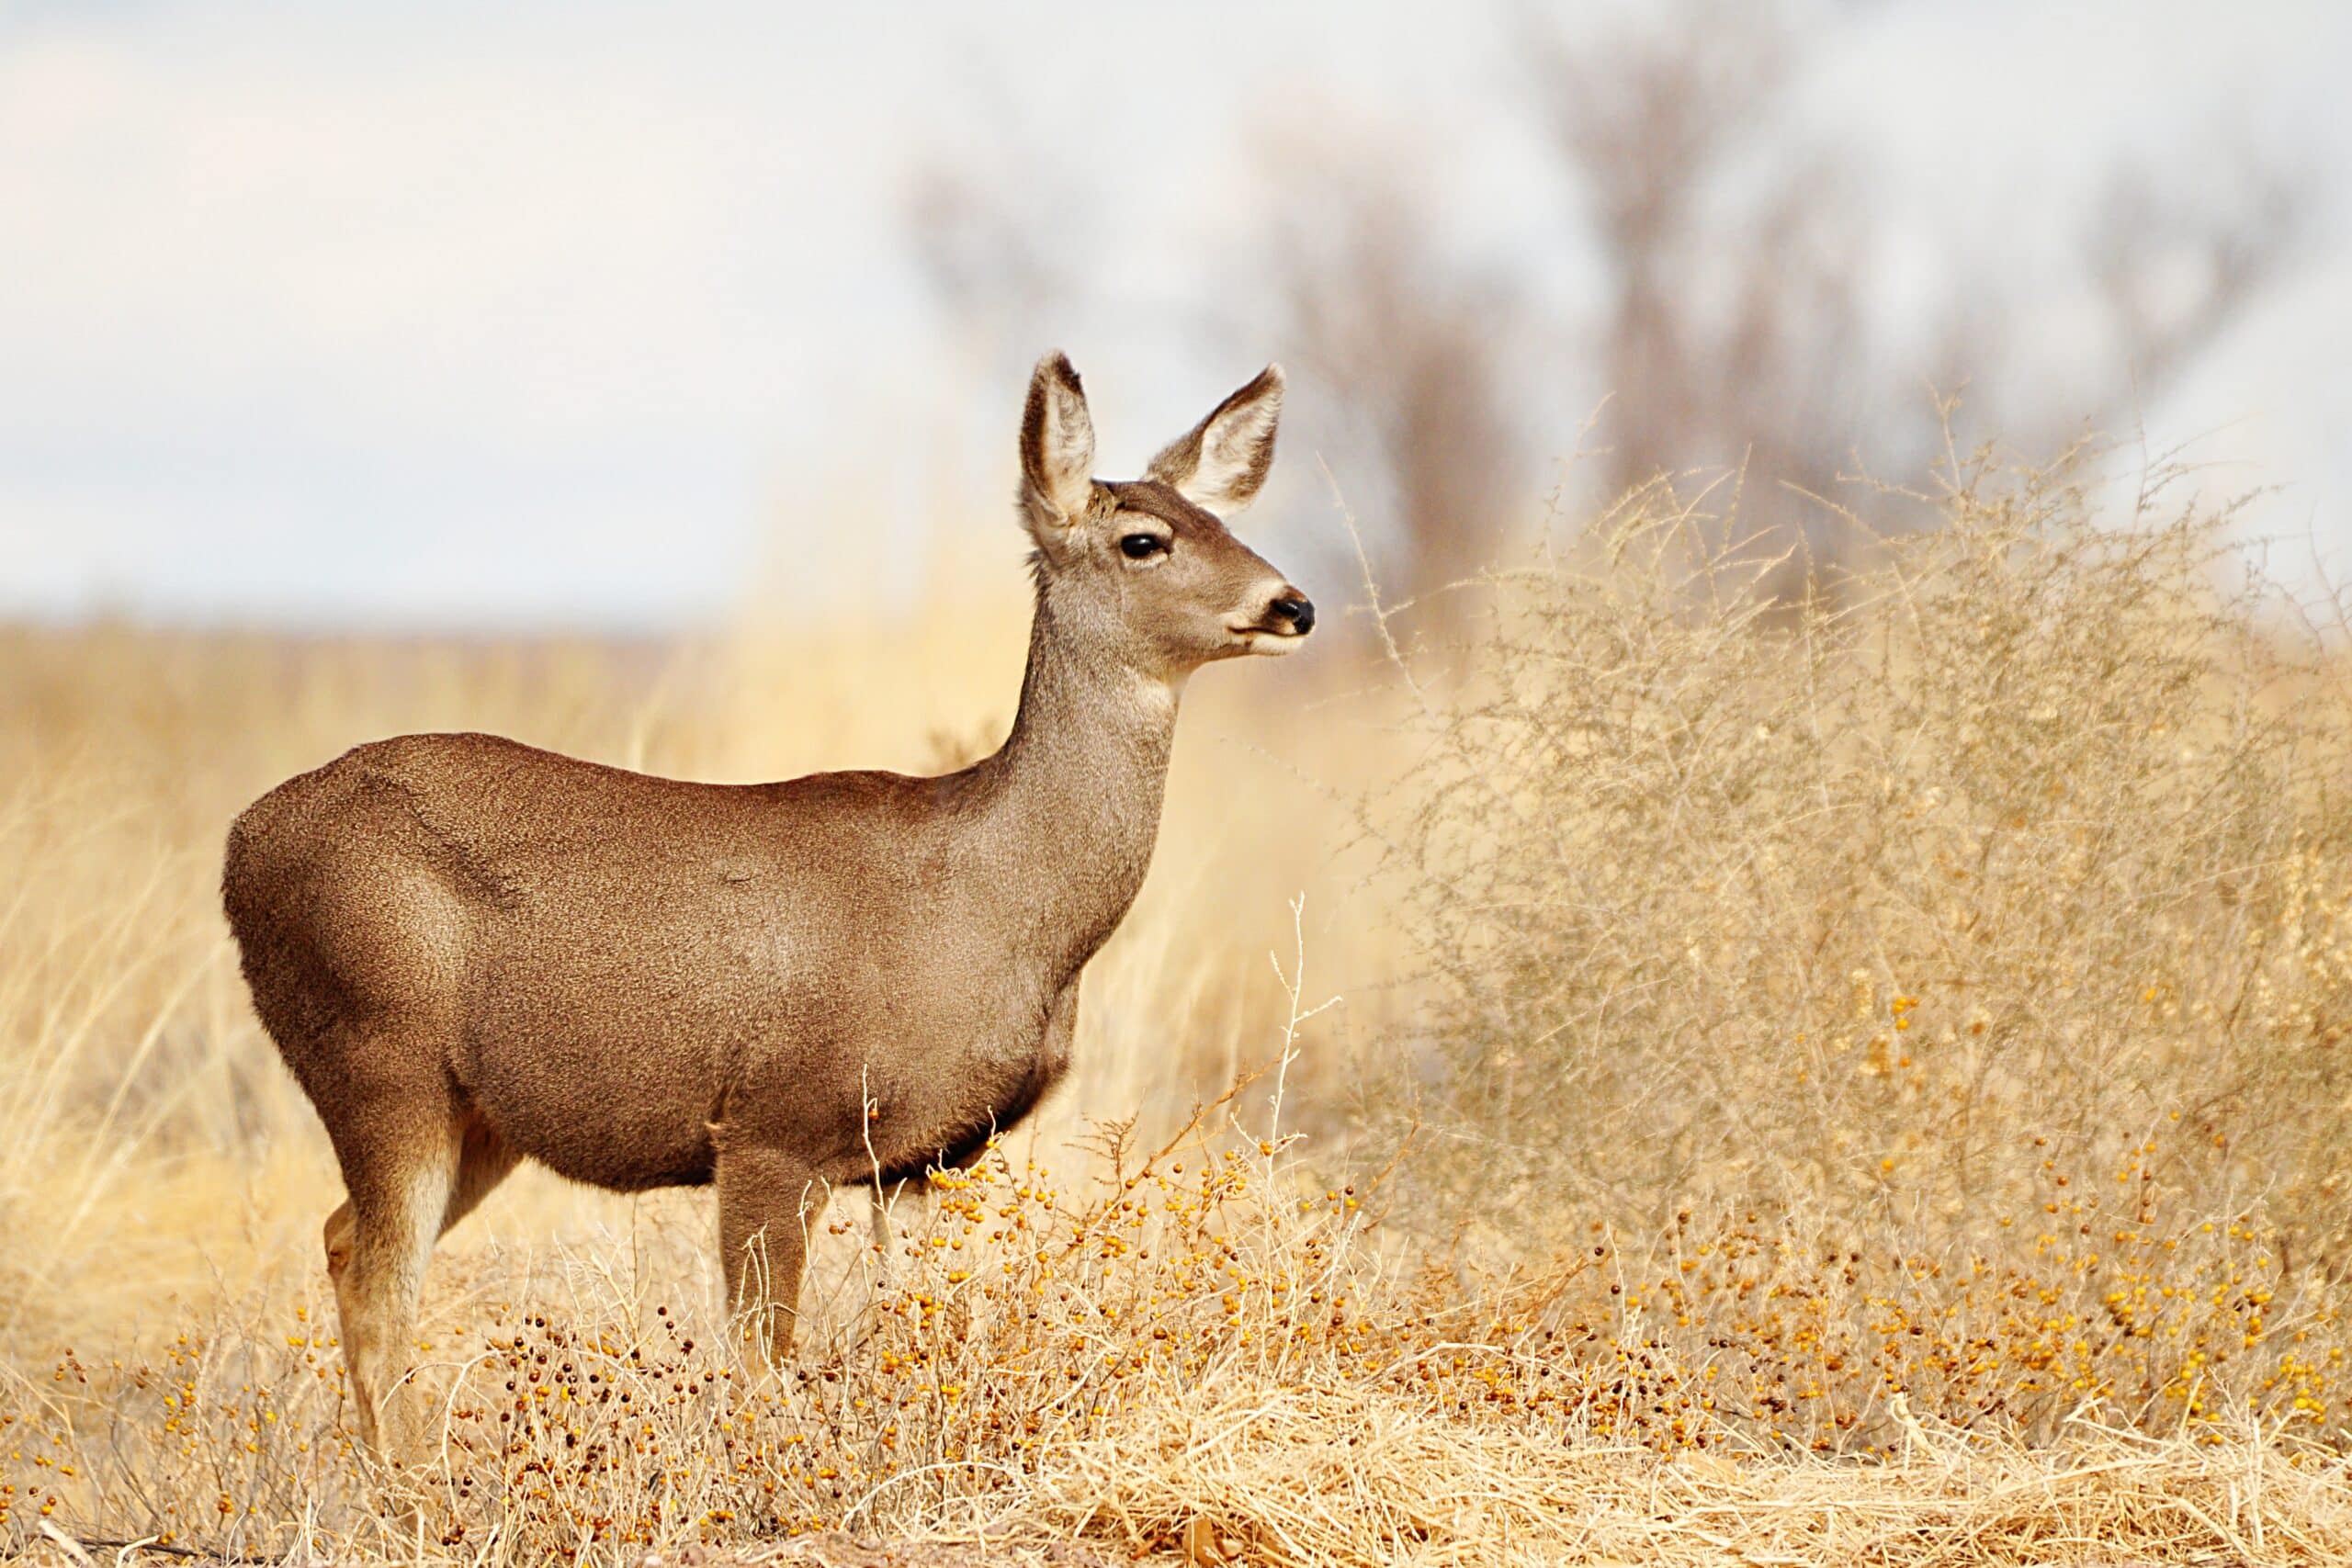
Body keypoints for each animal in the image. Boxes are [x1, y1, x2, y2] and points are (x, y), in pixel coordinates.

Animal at [219, 353, 1312, 1465]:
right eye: (1144, 539)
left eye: (1222, 520)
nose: (1293, 605)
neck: (1003, 912)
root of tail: (243, 841)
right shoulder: (770, 1126)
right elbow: (761, 1366)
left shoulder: (927, 1158)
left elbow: (911, 1328)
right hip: (376, 1054)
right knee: (380, 1288)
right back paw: (412, 1487)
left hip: (479, 1112)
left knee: (340, 1240)